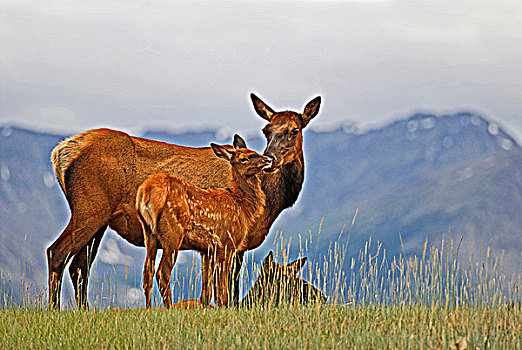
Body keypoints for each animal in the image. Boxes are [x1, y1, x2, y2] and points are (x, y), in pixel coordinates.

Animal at [136, 135, 270, 308]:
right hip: (173, 232)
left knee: (147, 271)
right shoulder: (227, 243)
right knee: (162, 273)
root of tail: (146, 192)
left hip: (149, 232)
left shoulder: (206, 250)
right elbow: (222, 290)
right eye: (244, 158)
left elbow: (206, 290)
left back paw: (148, 308)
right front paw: (223, 307)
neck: (242, 205)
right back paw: (168, 307)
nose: (268, 159)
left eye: (254, 151)